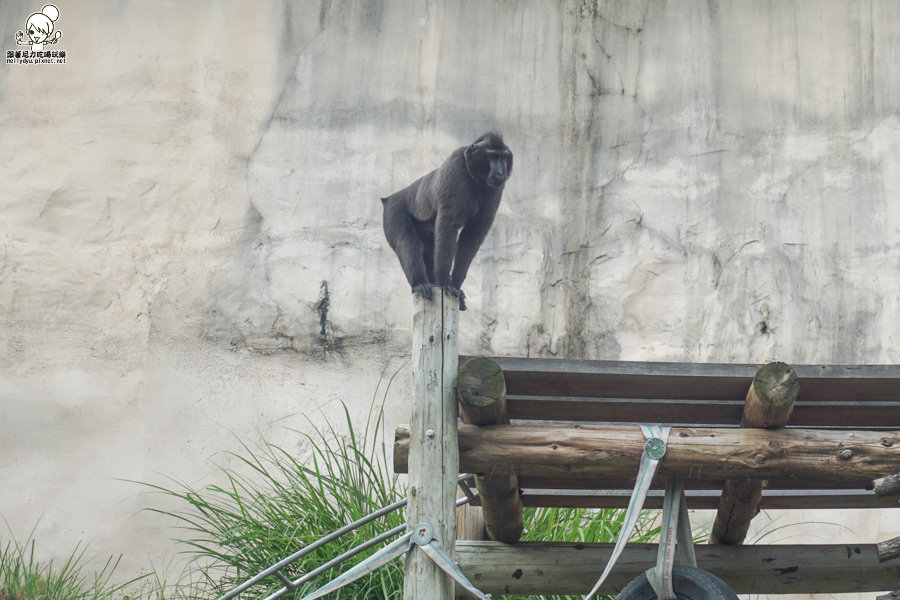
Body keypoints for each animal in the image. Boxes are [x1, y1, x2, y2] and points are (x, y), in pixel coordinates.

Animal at [378, 131, 512, 310]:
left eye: (503, 157)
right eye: (492, 156)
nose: (500, 171)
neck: (475, 179)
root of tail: (389, 198)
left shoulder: (497, 189)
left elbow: (472, 236)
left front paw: (455, 284)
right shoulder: (456, 168)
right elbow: (448, 225)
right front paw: (444, 281)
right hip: (393, 210)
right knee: (407, 242)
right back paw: (420, 283)